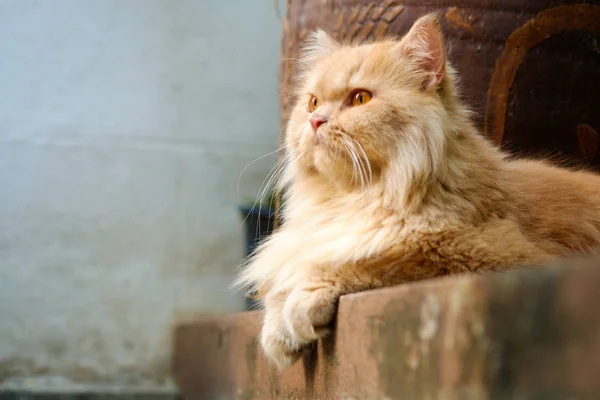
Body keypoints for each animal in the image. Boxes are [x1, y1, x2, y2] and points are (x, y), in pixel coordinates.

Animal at [237, 13, 600, 368]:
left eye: (360, 99)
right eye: (312, 103)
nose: (316, 121)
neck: (356, 198)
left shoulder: (487, 255)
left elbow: (369, 262)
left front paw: (302, 304)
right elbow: (288, 276)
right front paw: (277, 332)